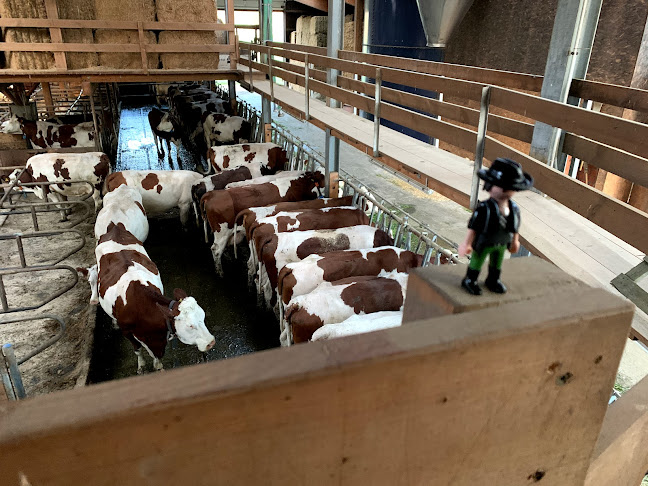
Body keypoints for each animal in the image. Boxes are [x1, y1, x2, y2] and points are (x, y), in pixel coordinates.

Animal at [95, 222, 215, 374]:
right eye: (190, 325)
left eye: (203, 317)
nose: (211, 342)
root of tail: (114, 227)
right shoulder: (127, 331)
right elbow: (138, 349)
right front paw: (141, 366)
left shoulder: (159, 335)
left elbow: (157, 355)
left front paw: (158, 367)